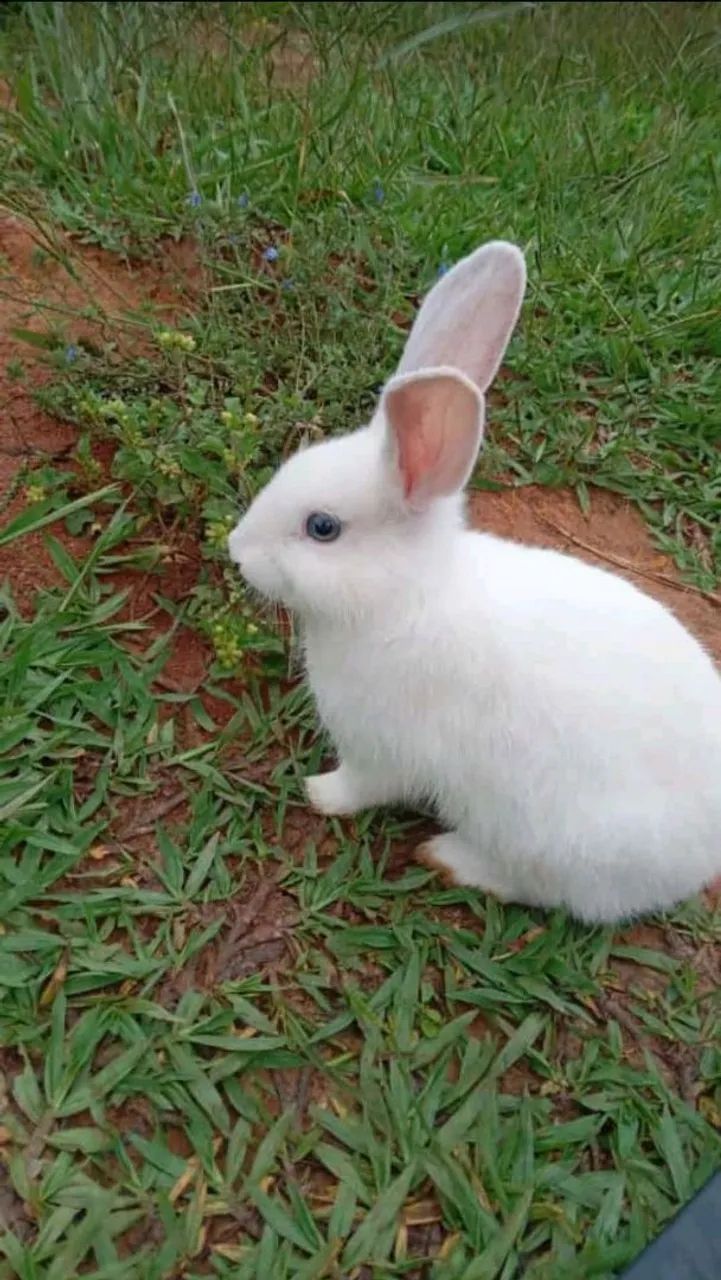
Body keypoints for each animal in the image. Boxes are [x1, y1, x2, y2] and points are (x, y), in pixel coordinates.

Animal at [228, 239, 721, 924]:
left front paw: (317, 792)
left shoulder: (380, 748)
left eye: (322, 527)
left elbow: (362, 785)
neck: (405, 597)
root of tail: (697, 863)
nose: (235, 551)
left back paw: (448, 857)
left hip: (552, 841)